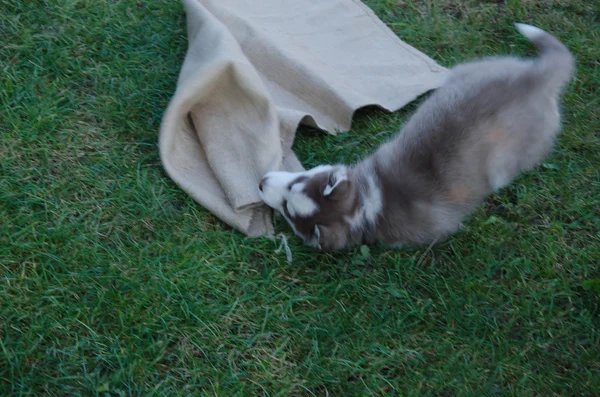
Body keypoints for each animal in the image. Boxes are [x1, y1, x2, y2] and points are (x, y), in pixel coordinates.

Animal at [258, 23, 576, 249]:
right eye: (296, 184)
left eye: (287, 208)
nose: (261, 182)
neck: (365, 204)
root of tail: (536, 79)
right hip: (473, 69)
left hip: (515, 156)